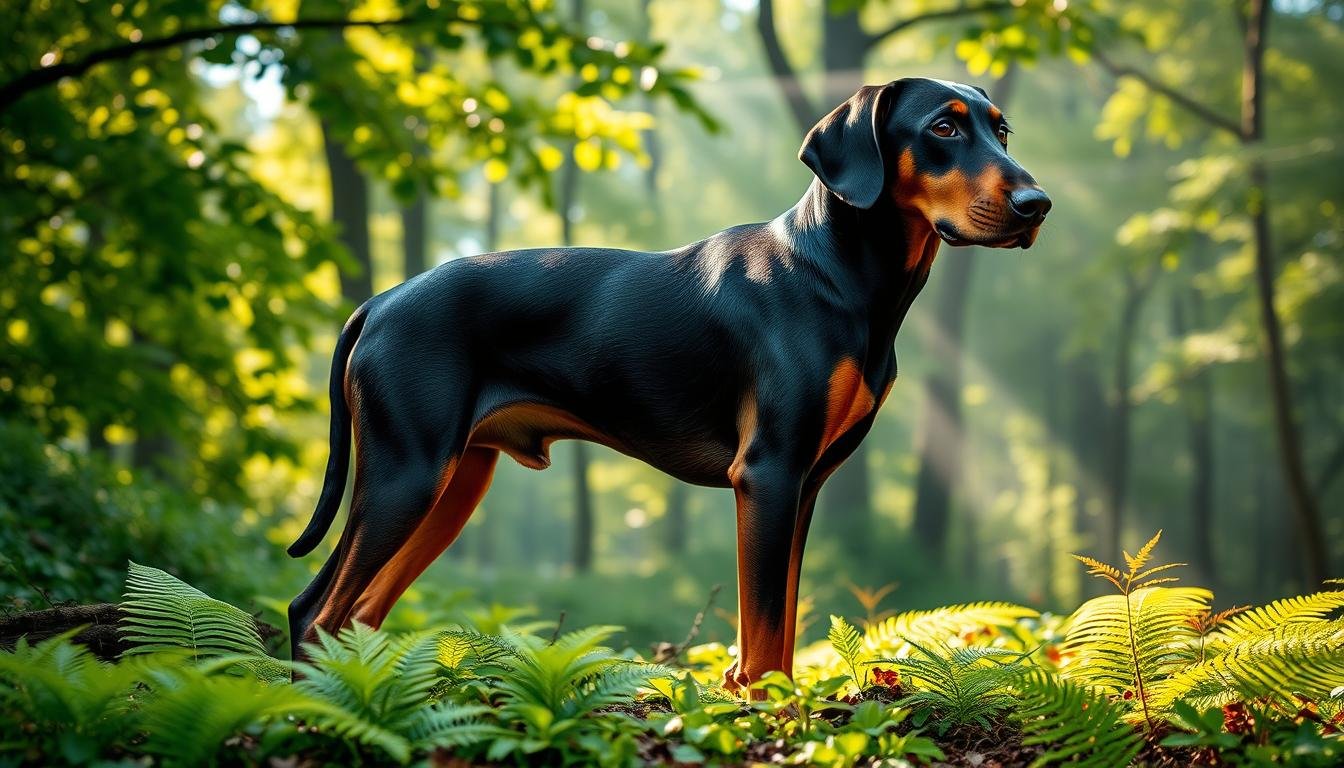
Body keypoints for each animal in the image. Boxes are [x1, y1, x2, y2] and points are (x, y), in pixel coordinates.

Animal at [288, 76, 1048, 688]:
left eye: (1002, 129)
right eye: (943, 128)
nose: (1037, 203)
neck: (839, 275)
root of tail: (381, 302)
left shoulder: (804, 485)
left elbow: (778, 627)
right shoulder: (767, 473)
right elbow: (764, 636)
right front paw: (769, 716)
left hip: (454, 483)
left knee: (357, 612)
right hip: (407, 472)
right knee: (314, 609)